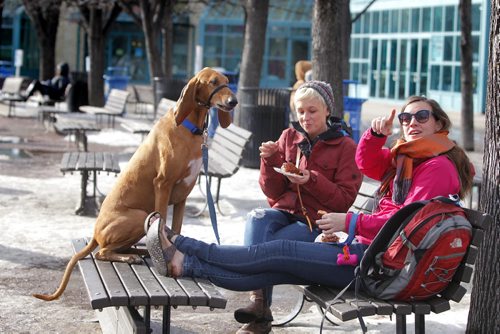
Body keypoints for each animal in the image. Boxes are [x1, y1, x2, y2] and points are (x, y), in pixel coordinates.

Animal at [34, 67, 238, 300]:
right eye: (213, 82)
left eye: (227, 81)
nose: (234, 101)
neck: (189, 127)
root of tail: (94, 233)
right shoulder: (163, 184)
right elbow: (163, 223)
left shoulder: (183, 194)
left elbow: (176, 228)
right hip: (140, 216)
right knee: (102, 252)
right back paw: (132, 256)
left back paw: (141, 251)